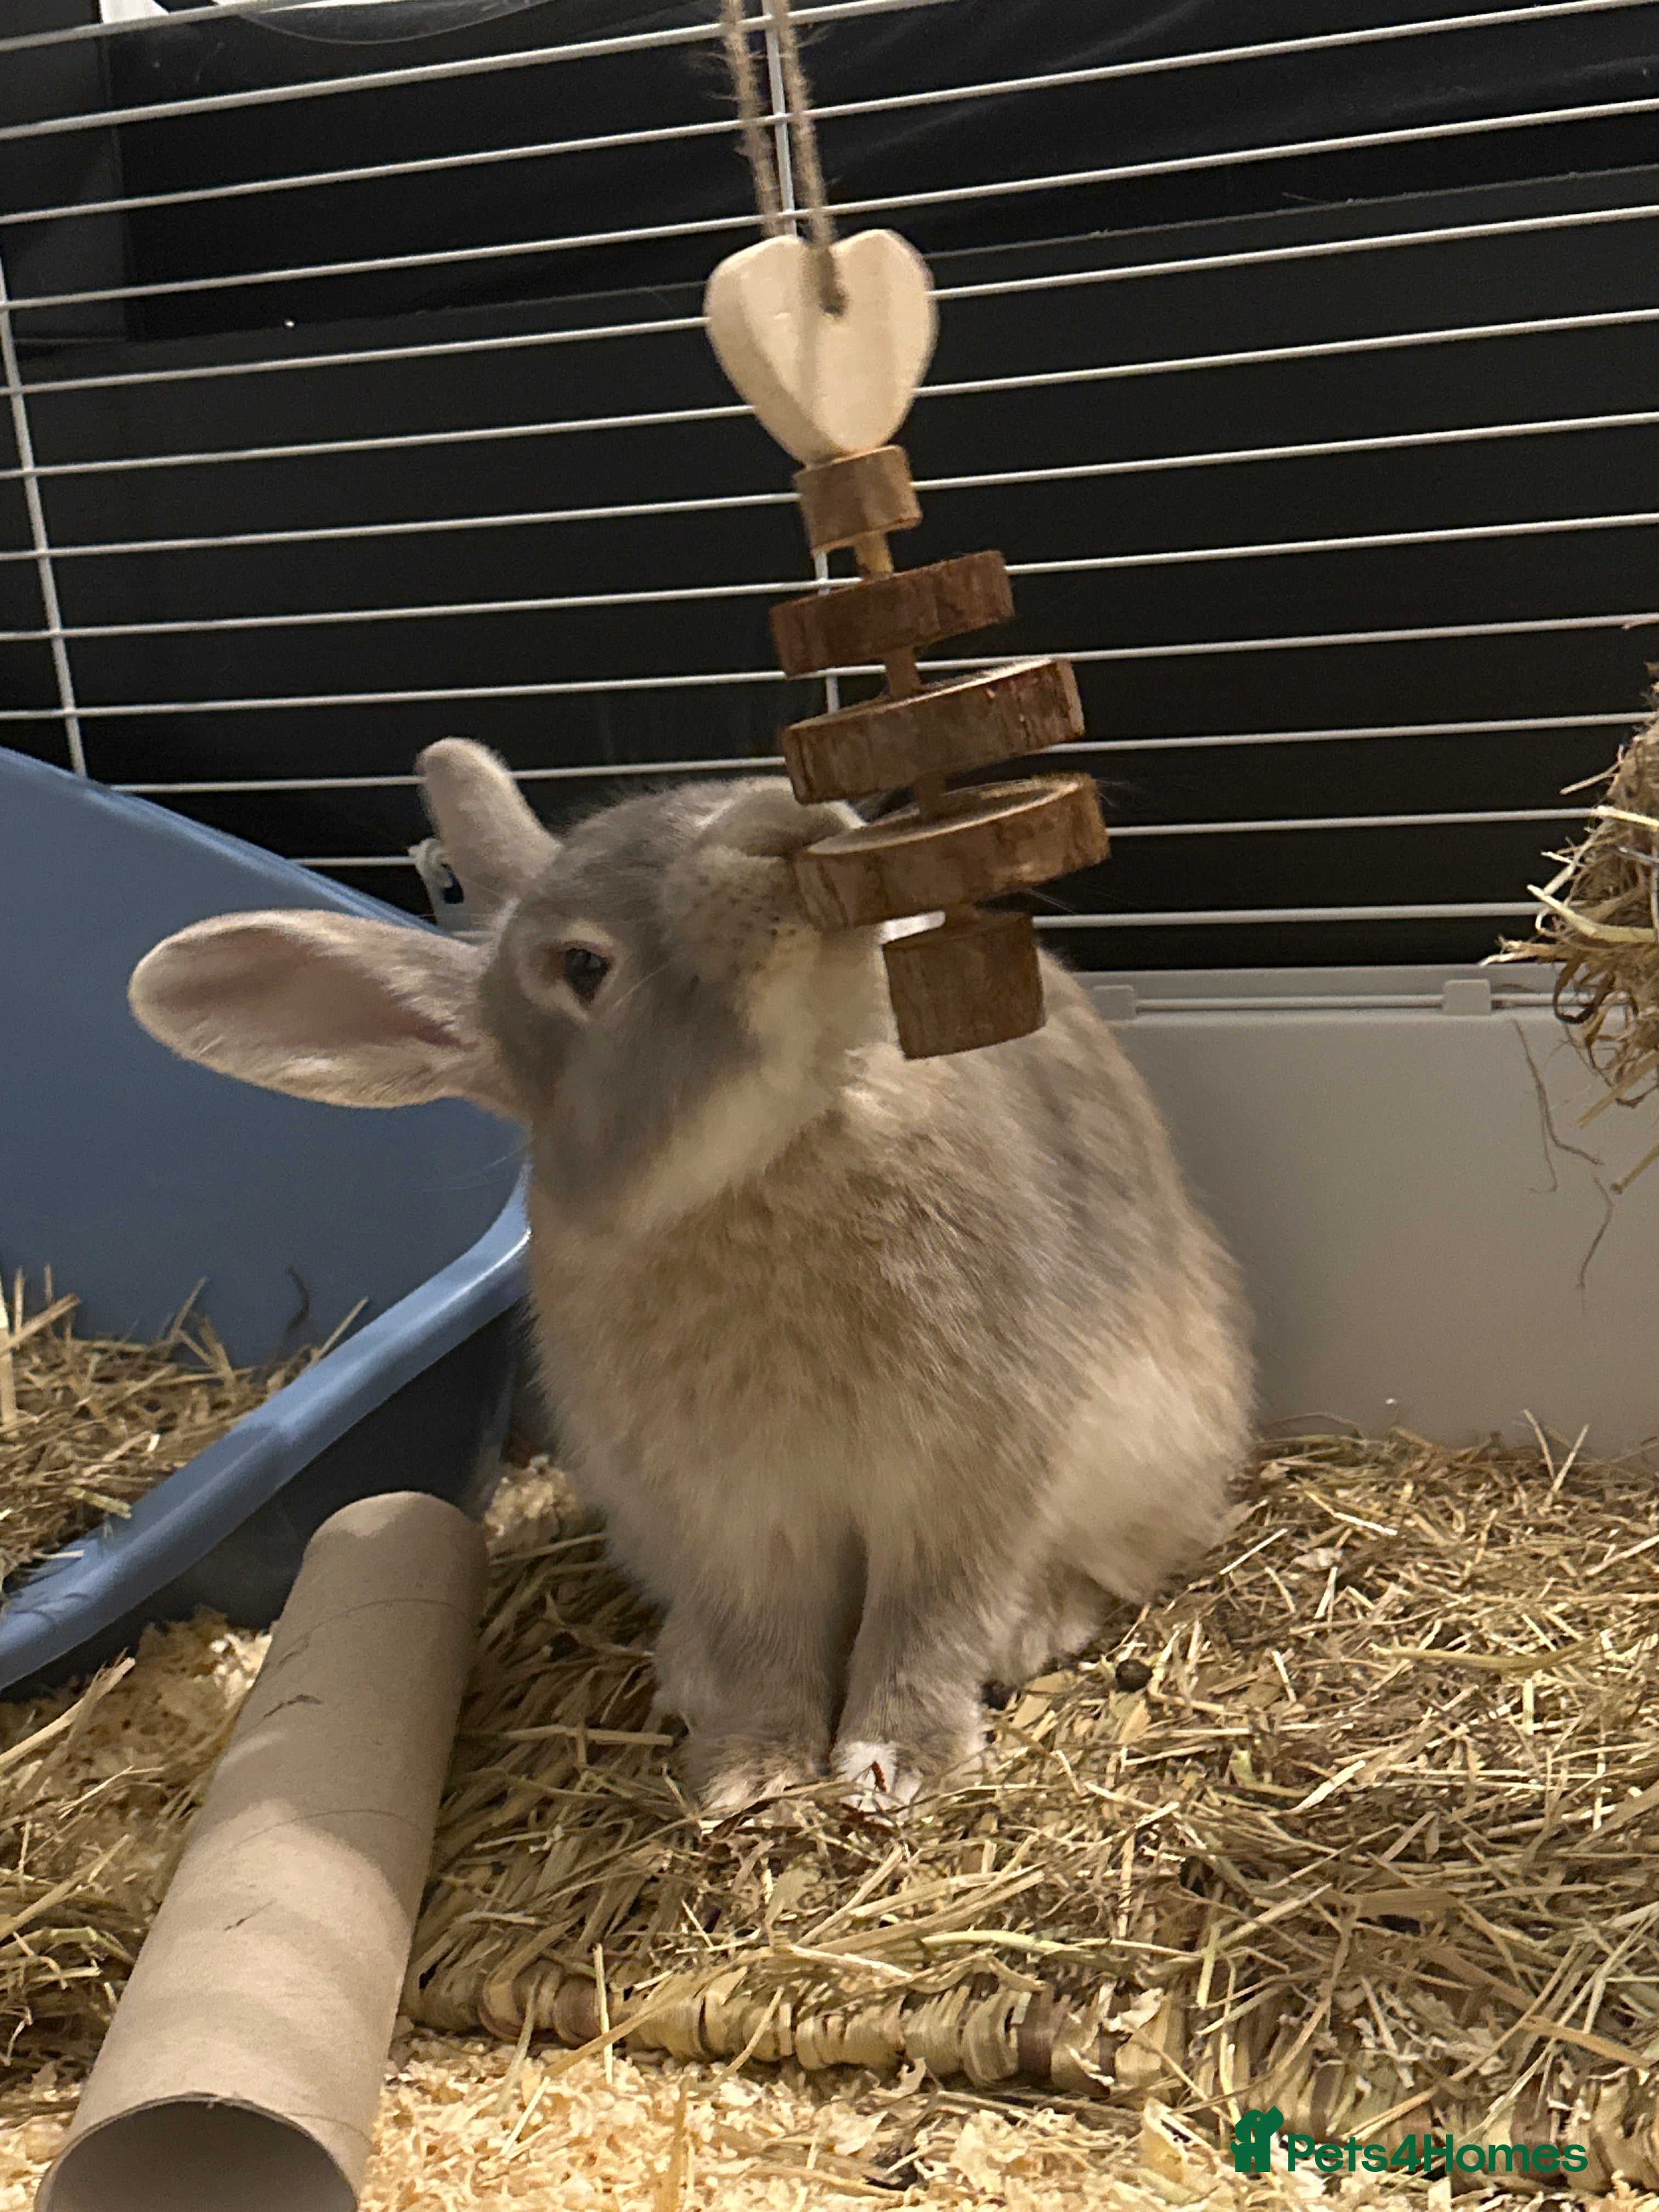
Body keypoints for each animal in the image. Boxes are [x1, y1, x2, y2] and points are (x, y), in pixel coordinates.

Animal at [128, 738, 1255, 1814]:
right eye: (582, 965)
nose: (782, 821)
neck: (773, 1148)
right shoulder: (735, 1517)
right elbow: (771, 1639)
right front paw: (751, 1771)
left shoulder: (962, 1484)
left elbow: (926, 1620)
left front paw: (896, 1761)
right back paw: (690, 1671)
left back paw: (1034, 1627)